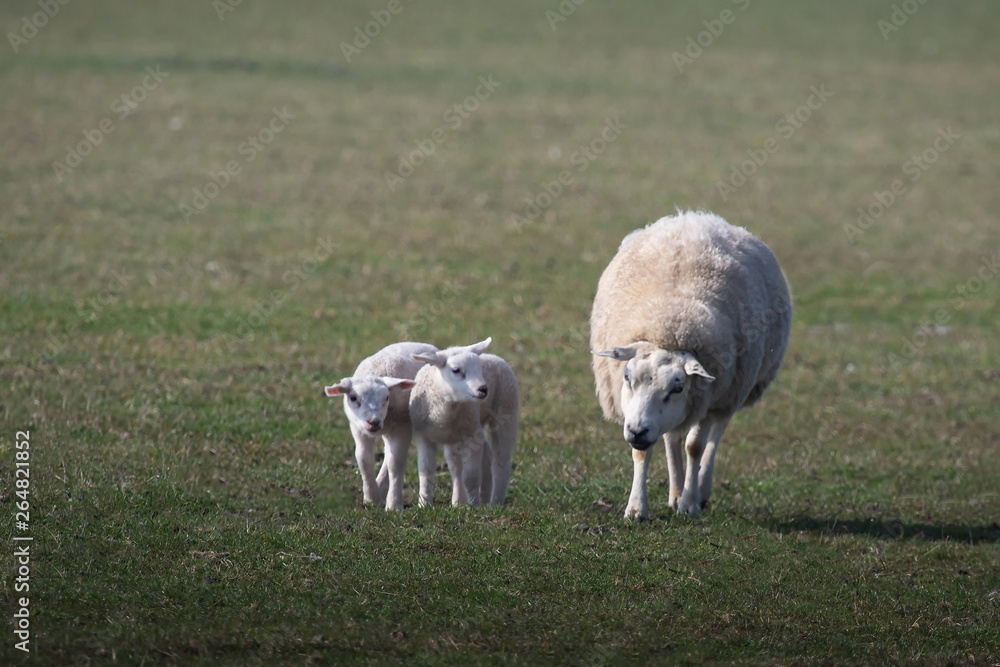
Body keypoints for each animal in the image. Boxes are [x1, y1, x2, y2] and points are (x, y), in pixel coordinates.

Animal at [323, 341, 438, 510]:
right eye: (353, 398)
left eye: (387, 397)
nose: (373, 422)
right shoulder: (358, 429)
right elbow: (364, 459)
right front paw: (371, 497)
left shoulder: (402, 427)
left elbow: (395, 463)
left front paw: (394, 504)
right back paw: (380, 486)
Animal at [408, 337, 520, 507]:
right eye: (456, 370)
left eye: (479, 368)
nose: (483, 389)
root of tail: (494, 356)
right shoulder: (423, 436)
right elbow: (425, 471)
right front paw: (424, 503)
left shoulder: (471, 435)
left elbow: (471, 476)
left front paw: (473, 505)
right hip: (464, 432)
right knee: (459, 465)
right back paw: (463, 500)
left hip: (507, 413)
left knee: (501, 461)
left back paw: (495, 502)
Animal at [590, 210, 791, 520]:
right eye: (626, 377)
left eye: (677, 388)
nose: (636, 432)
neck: (669, 324)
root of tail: (696, 217)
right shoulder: (643, 418)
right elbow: (643, 451)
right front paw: (637, 507)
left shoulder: (708, 395)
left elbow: (695, 446)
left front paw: (689, 503)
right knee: (671, 436)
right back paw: (675, 491)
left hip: (732, 390)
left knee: (715, 433)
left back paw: (700, 490)